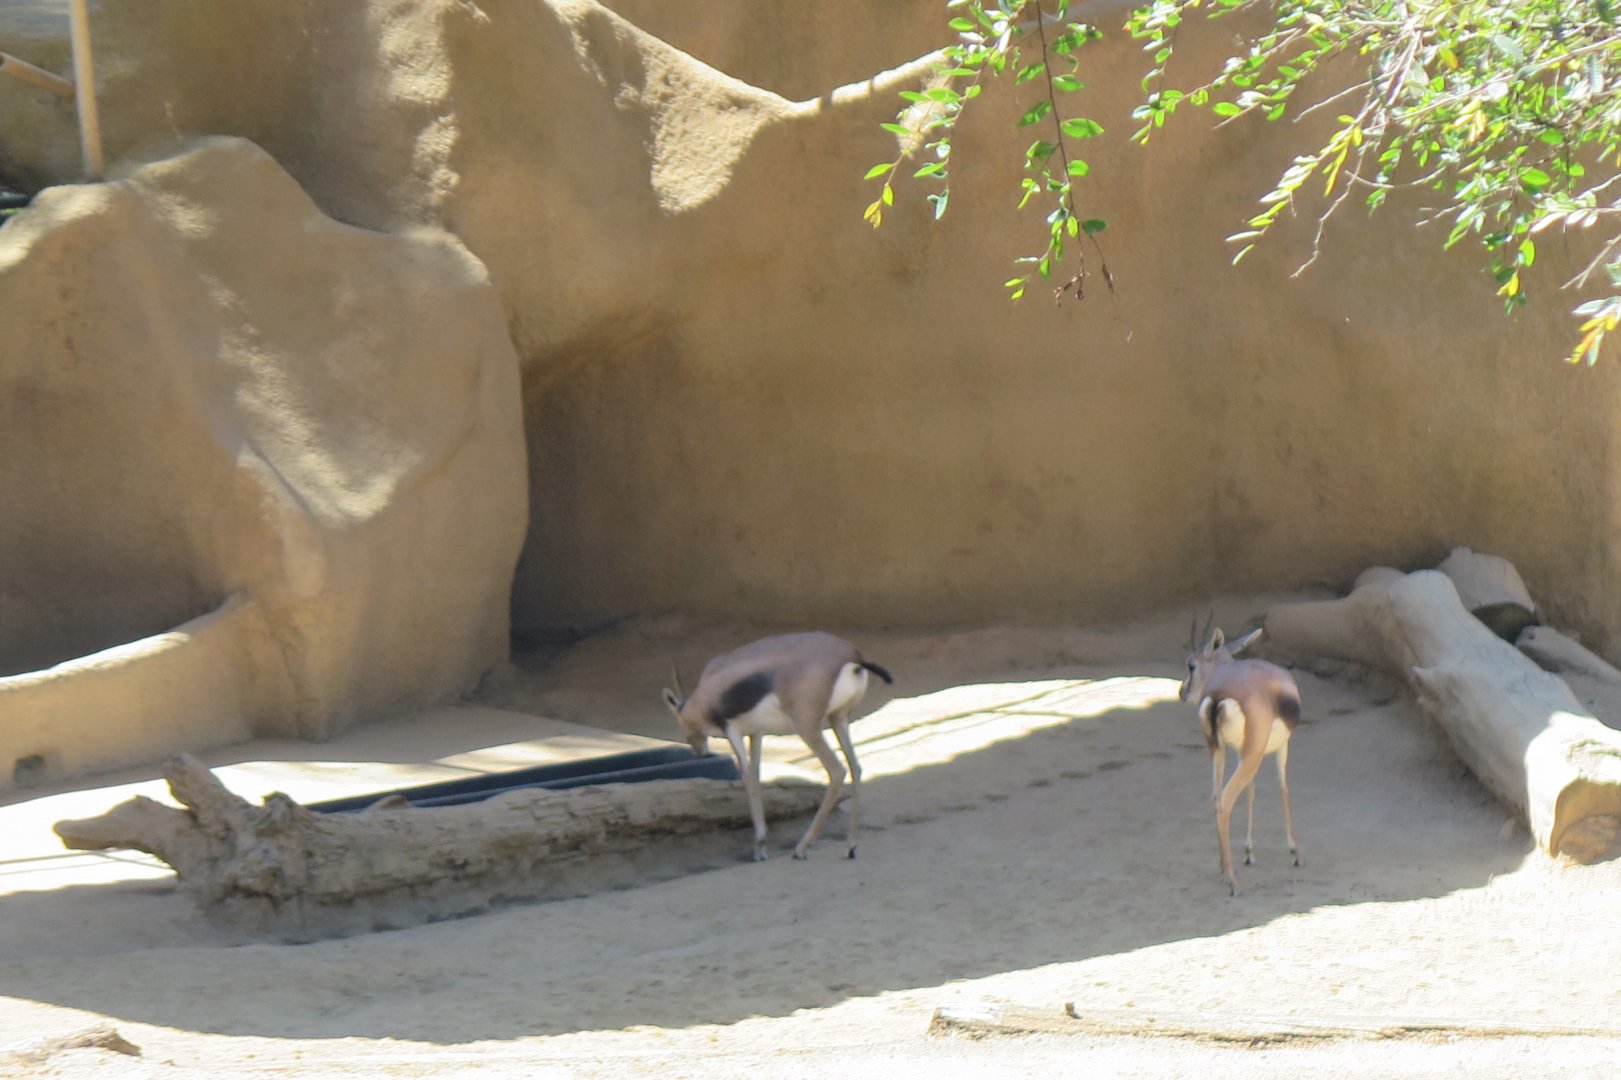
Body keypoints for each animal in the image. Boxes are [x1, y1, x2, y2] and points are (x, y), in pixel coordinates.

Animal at [663, 632, 893, 862]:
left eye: (681, 724)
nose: (699, 752)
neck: (707, 693)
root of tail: (852, 656)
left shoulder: (731, 731)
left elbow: (748, 779)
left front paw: (759, 846)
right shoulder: (756, 732)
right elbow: (756, 775)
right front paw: (760, 847)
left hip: (808, 728)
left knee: (837, 771)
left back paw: (801, 848)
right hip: (839, 719)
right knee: (855, 767)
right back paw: (850, 846)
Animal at [1179, 617, 1302, 896]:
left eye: (1191, 665)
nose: (1182, 693)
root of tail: (1218, 694)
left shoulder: (1237, 750)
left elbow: (1252, 790)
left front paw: (1248, 852)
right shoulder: (1280, 746)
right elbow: (1283, 788)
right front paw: (1294, 852)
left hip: (1217, 749)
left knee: (1216, 798)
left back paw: (1223, 871)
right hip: (1252, 755)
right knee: (1225, 800)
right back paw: (1233, 882)